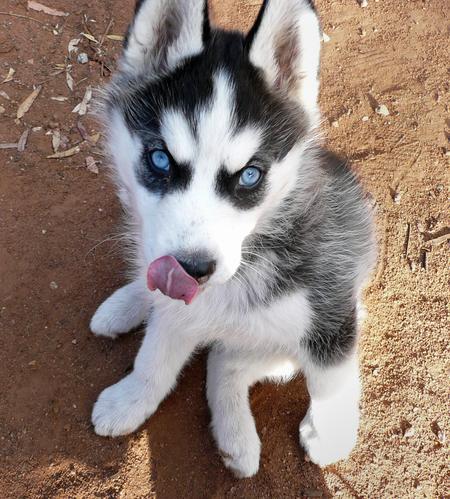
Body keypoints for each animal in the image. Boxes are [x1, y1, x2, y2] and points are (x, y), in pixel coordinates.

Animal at [90, 0, 376, 478]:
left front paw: (332, 431)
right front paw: (133, 397)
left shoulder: (329, 308)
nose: (192, 269)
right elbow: (154, 358)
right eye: (160, 159)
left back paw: (235, 436)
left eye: (250, 176)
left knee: (226, 361)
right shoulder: (177, 303)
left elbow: (331, 377)